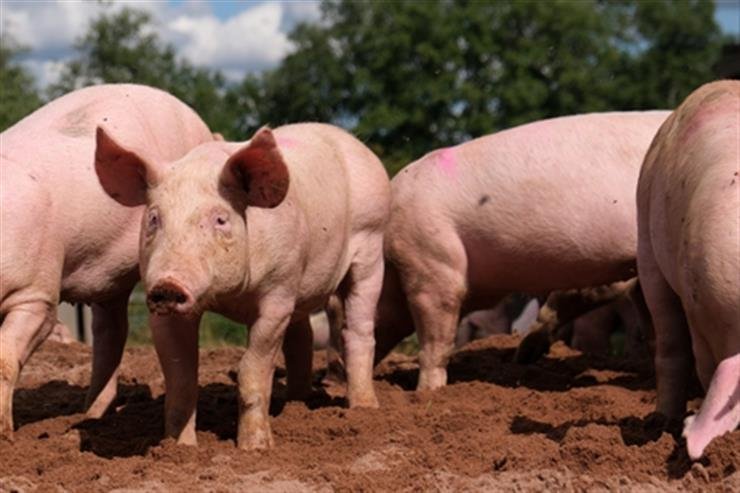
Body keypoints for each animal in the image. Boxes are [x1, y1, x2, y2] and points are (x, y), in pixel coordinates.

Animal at [94, 123, 390, 449]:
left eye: (221, 219)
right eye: (154, 218)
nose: (168, 285)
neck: (229, 297)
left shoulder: (278, 293)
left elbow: (252, 369)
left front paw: (255, 448)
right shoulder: (165, 312)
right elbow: (181, 377)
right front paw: (179, 448)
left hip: (371, 245)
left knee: (358, 330)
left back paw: (364, 409)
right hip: (303, 285)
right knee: (301, 337)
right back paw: (296, 402)